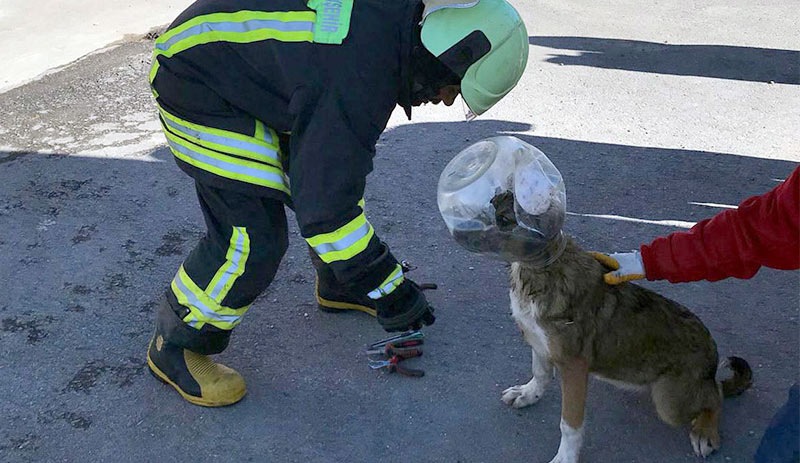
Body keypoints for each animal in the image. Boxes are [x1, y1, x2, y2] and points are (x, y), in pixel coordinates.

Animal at [504, 237, 752, 462]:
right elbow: (540, 374)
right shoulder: (537, 341)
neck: (539, 269)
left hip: (669, 403)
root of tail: (712, 351)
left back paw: (705, 432)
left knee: (716, 395)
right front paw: (527, 394)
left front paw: (566, 457)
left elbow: (569, 424)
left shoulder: (574, 367)